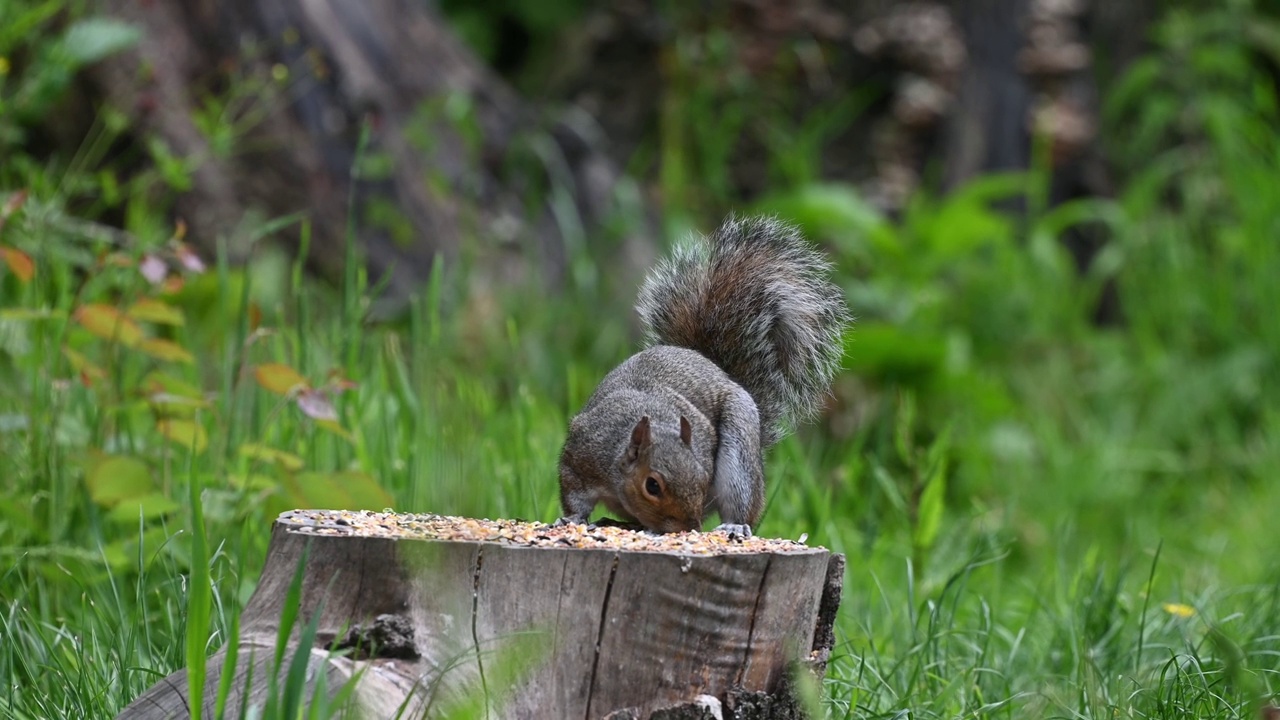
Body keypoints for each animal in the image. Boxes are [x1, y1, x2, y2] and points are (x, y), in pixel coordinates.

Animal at [558, 215, 849, 535]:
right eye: (652, 486)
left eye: (702, 477)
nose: (690, 527)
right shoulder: (582, 455)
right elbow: (573, 495)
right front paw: (573, 519)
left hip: (739, 452)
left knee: (743, 502)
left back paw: (735, 525)